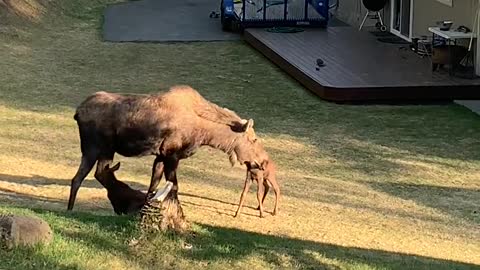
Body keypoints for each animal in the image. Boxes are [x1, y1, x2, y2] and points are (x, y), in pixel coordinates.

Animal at [66, 84, 270, 211]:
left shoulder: (160, 155)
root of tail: (77, 112)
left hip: (104, 150)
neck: (205, 134)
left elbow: (154, 186)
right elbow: (175, 187)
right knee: (83, 177)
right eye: (254, 139)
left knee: (90, 175)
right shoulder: (172, 155)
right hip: (95, 148)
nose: (263, 162)